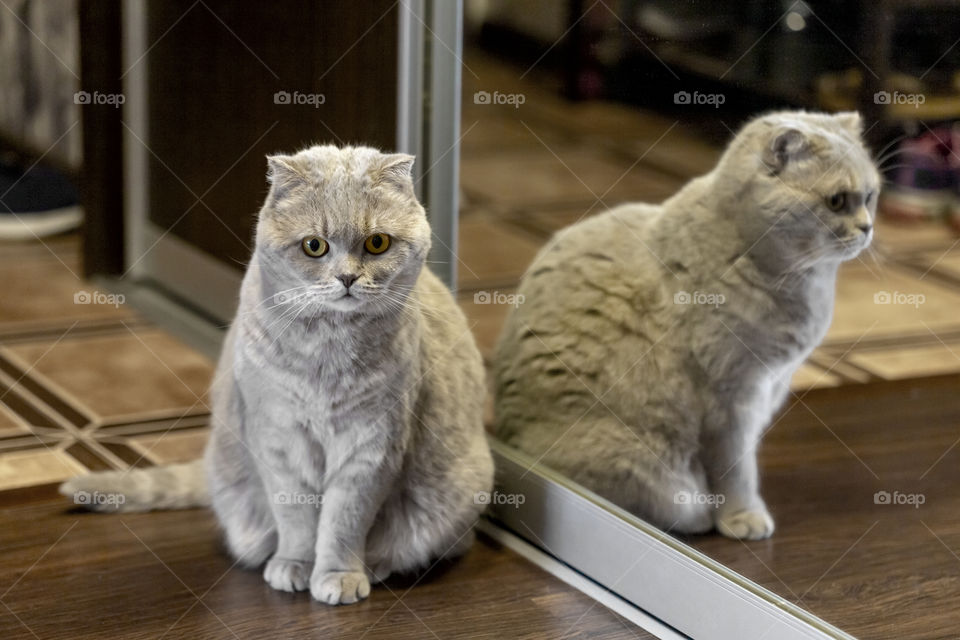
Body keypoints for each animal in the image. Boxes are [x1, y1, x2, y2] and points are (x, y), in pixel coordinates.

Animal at [62, 145, 496, 604]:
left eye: (377, 243)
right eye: (314, 246)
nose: (347, 277)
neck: (328, 353)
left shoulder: (371, 447)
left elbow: (343, 522)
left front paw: (339, 575)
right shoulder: (279, 441)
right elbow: (297, 519)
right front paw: (295, 566)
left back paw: (375, 566)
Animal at [496, 110, 876, 540]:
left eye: (870, 197)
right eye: (837, 201)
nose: (867, 227)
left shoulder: (770, 385)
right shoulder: (732, 399)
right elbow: (737, 469)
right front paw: (744, 516)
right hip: (640, 459)